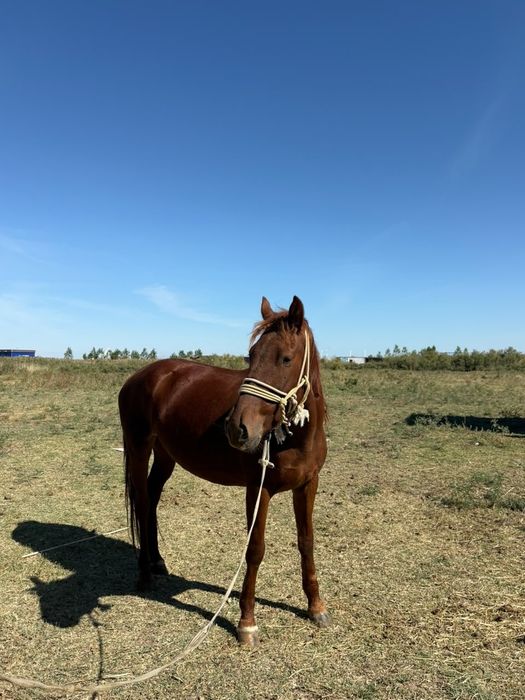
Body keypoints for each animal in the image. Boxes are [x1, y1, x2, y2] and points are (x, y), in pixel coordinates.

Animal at [118, 295, 329, 646]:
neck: (297, 438)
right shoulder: (258, 489)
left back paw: (158, 561)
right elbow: (255, 550)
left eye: (286, 359)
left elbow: (306, 541)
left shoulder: (307, 485)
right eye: (251, 356)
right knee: (144, 501)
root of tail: (140, 377)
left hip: (165, 455)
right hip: (138, 450)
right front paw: (247, 622)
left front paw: (315, 606)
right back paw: (145, 572)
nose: (236, 428)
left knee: (153, 498)